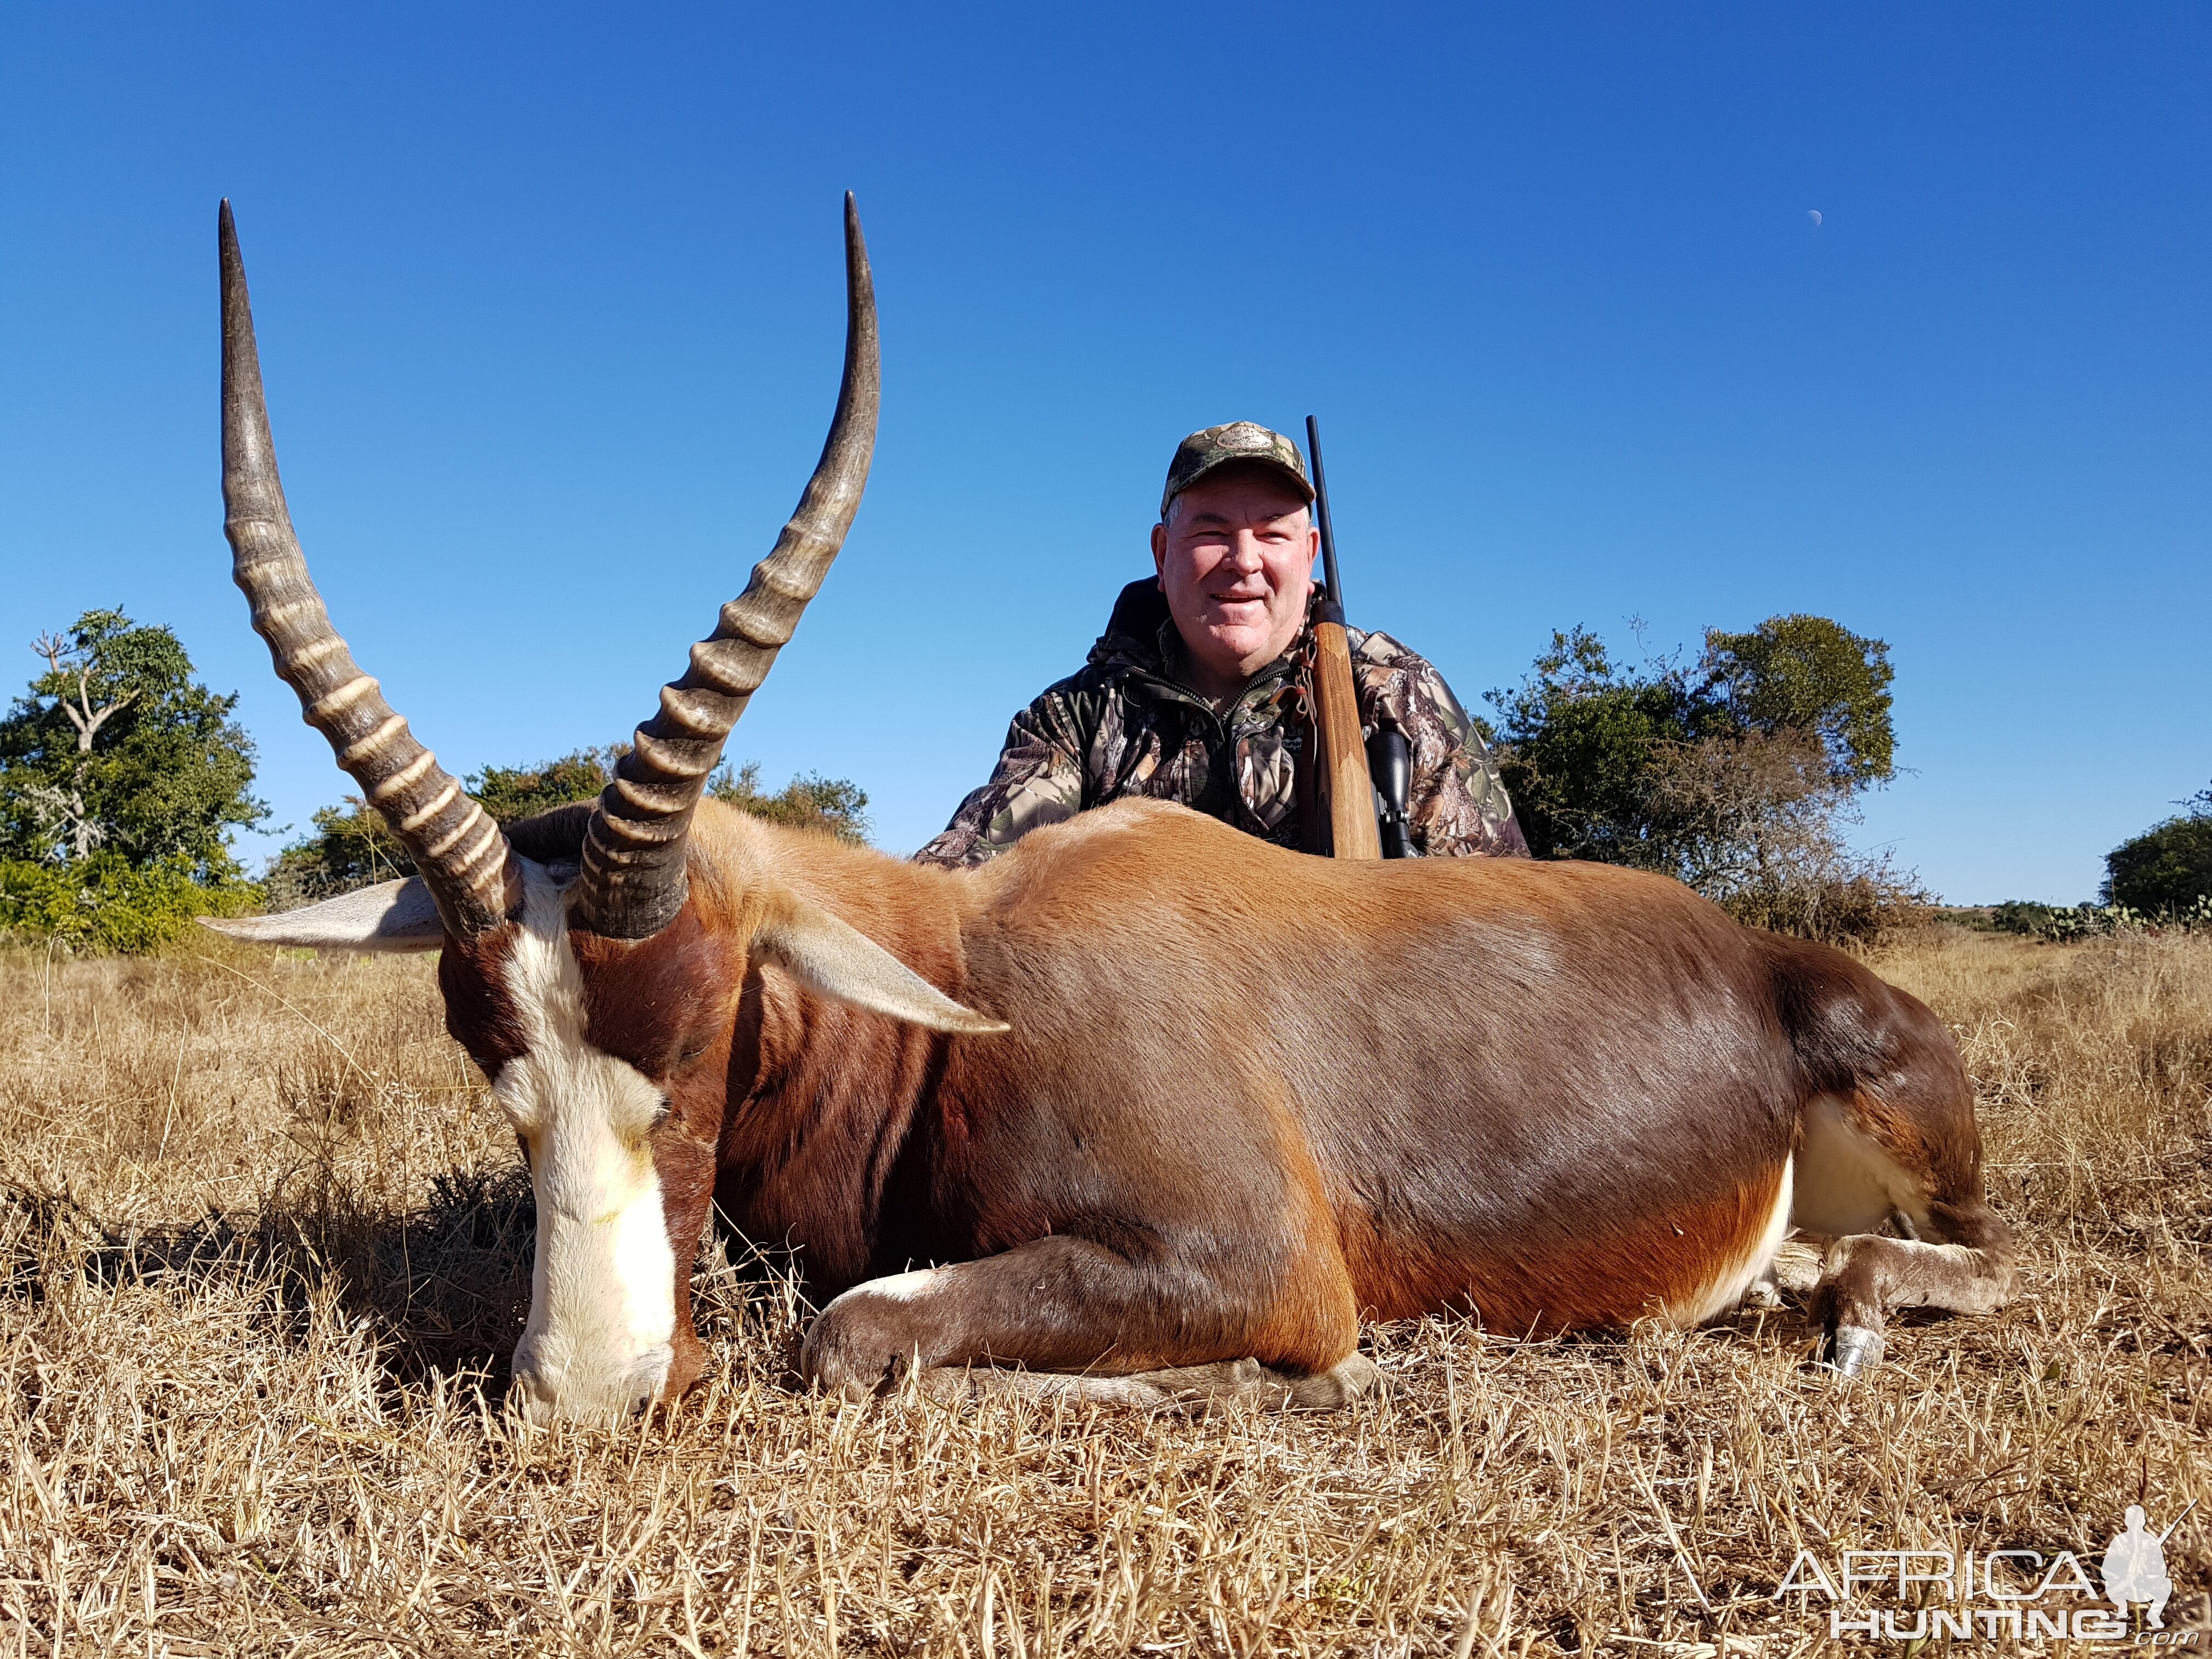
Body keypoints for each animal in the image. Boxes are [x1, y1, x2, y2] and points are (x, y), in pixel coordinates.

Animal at [211, 191, 2026, 1415]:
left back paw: (1841, 1304)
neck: (968, 986)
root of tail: (1762, 956)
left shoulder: (1256, 1268)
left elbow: (853, 1329)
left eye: (710, 1021)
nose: (591, 1395)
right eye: (488, 1054)